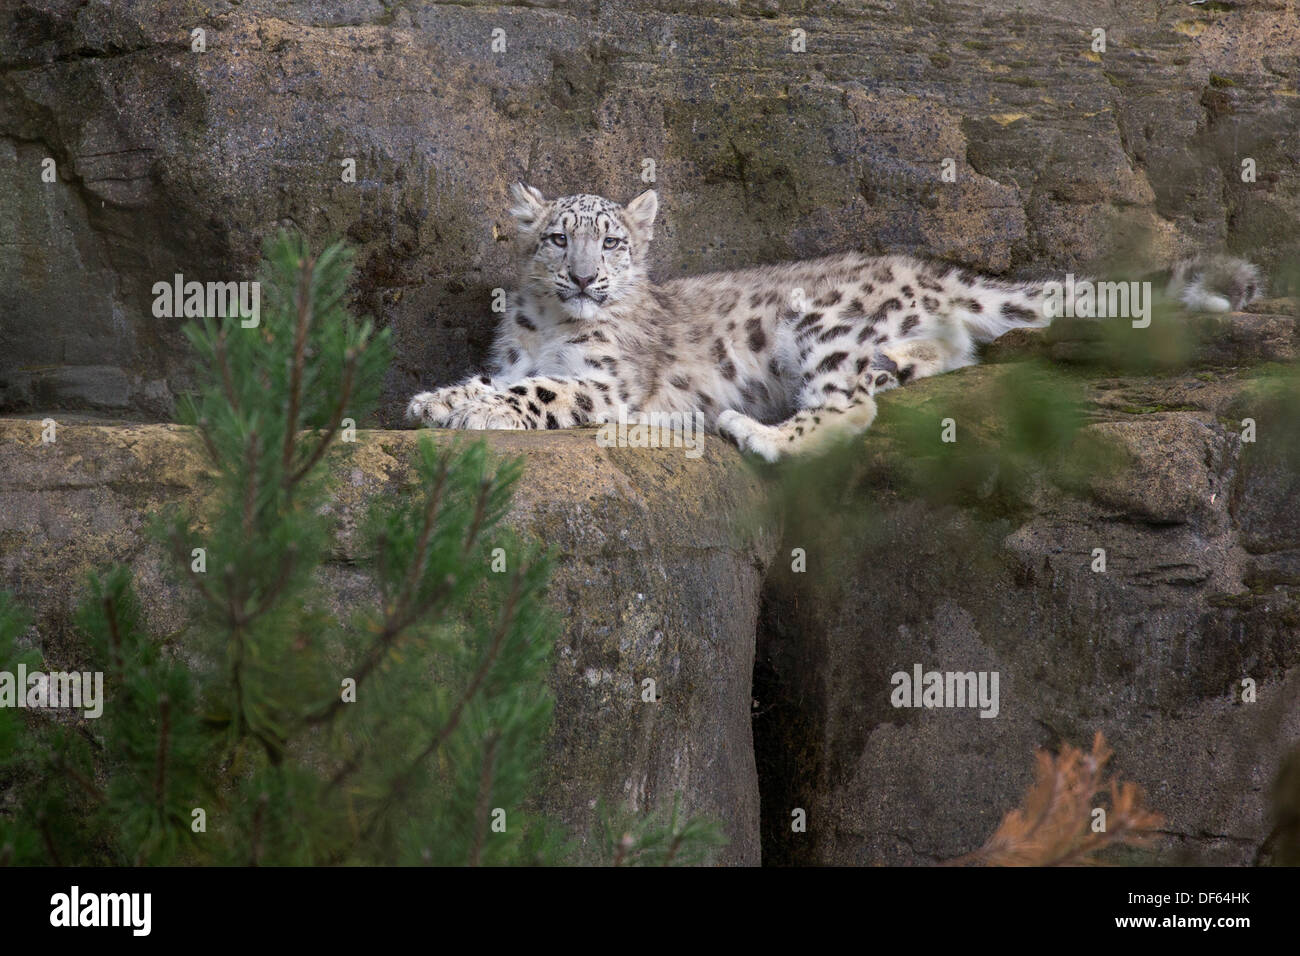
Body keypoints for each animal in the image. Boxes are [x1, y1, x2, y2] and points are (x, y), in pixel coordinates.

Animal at [406, 183, 1262, 461]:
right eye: (558, 238)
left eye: (612, 242)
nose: (586, 278)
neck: (549, 324)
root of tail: (933, 272)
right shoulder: (517, 356)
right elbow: (500, 379)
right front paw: (441, 399)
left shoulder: (604, 383)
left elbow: (539, 394)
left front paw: (464, 408)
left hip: (824, 327)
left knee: (848, 408)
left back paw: (753, 431)